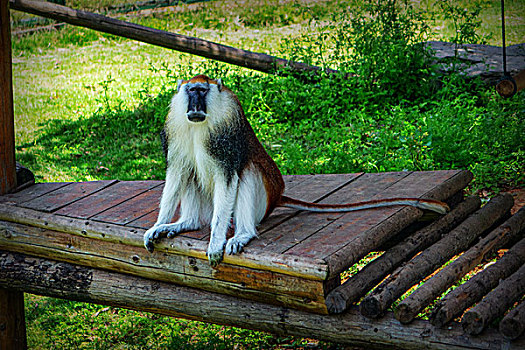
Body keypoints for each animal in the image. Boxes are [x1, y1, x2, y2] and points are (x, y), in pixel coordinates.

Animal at [142, 74, 446, 266]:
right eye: (190, 91)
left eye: (202, 91)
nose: (194, 104)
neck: (201, 123)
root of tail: (277, 196)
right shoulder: (174, 124)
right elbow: (176, 172)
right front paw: (158, 225)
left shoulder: (228, 128)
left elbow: (229, 175)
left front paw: (215, 243)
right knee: (189, 172)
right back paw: (188, 223)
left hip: (260, 205)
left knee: (248, 171)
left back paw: (242, 233)